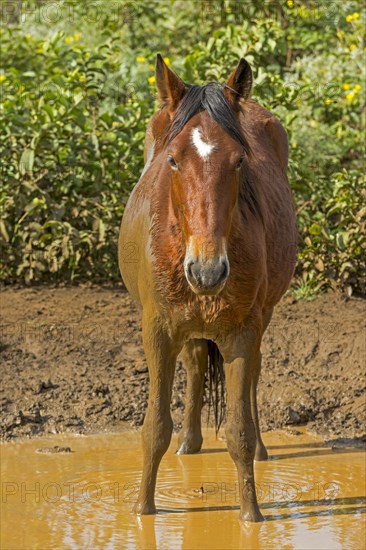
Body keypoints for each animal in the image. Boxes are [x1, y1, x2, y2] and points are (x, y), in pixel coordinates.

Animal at [118, 54, 296, 524]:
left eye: (239, 161)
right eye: (173, 160)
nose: (208, 270)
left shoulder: (241, 331)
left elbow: (238, 431)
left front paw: (251, 516)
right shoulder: (157, 330)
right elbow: (154, 428)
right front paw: (143, 510)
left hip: (261, 317)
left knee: (251, 379)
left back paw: (260, 448)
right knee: (196, 362)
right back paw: (189, 442)